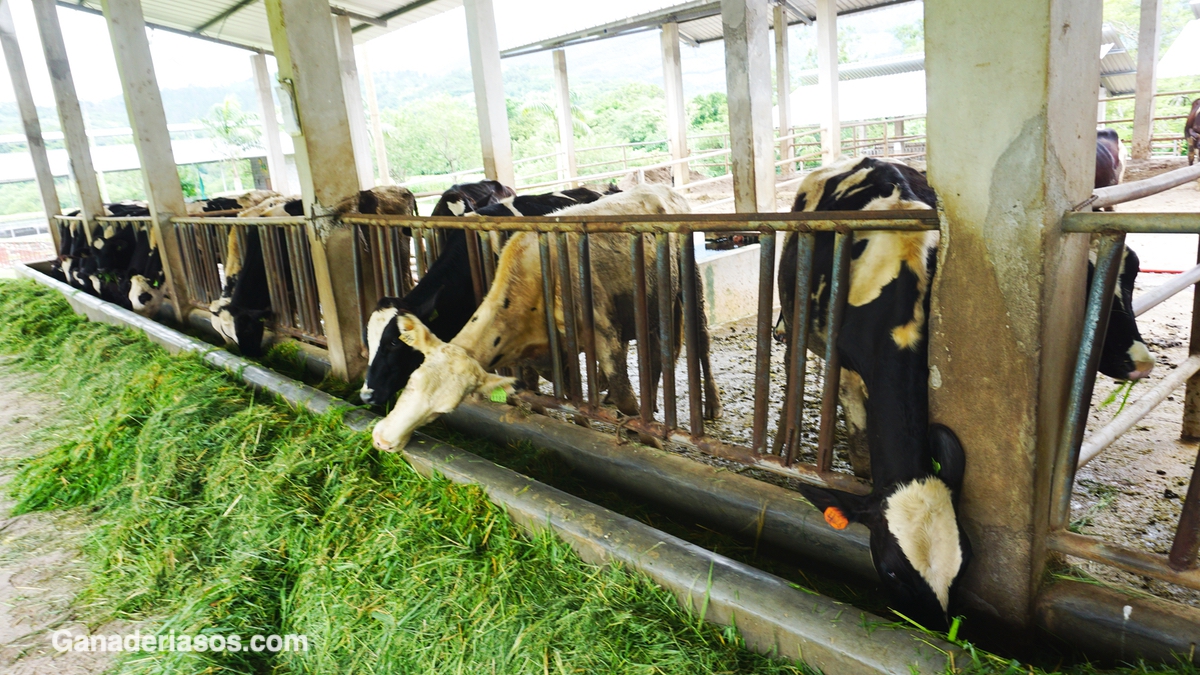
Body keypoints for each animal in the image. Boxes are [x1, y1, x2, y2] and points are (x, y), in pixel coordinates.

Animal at [369, 183, 715, 454]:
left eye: (394, 345)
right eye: (412, 381)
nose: (382, 438)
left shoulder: (604, 335)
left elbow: (624, 399)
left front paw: (648, 440)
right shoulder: (544, 352)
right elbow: (555, 396)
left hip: (688, 287)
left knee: (697, 343)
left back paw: (708, 406)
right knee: (656, 357)